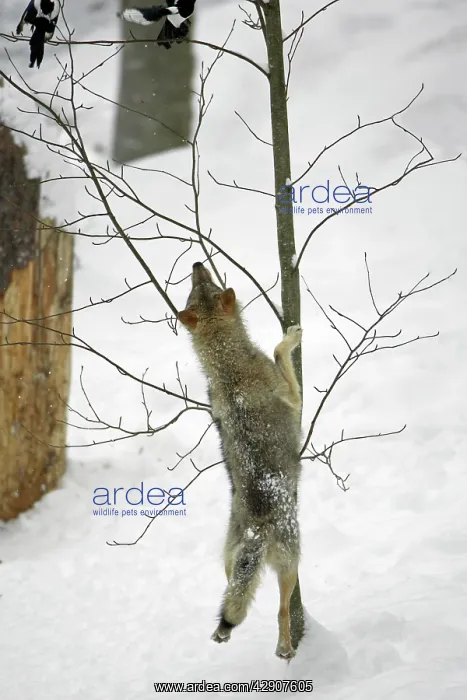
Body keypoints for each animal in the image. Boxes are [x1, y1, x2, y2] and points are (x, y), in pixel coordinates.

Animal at [178, 262, 302, 659]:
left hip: (226, 562)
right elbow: (279, 351)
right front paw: (291, 336)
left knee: (234, 600)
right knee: (281, 611)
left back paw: (224, 634)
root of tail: (255, 530)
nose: (196, 264)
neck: (228, 366)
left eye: (202, 285)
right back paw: (284, 649)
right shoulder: (294, 397)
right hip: (292, 564)